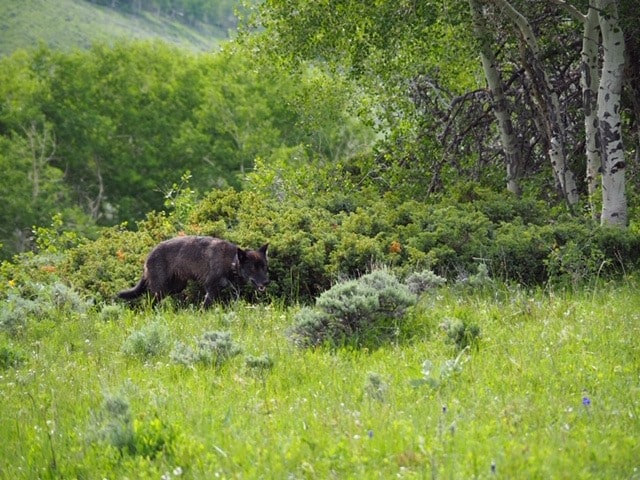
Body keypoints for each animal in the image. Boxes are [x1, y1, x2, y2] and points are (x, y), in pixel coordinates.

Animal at [117, 236, 268, 308]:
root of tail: (149, 254)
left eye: (264, 267)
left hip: (175, 288)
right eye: (253, 268)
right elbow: (205, 307)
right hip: (160, 290)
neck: (231, 262)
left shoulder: (232, 292)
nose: (267, 282)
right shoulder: (210, 289)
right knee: (149, 303)